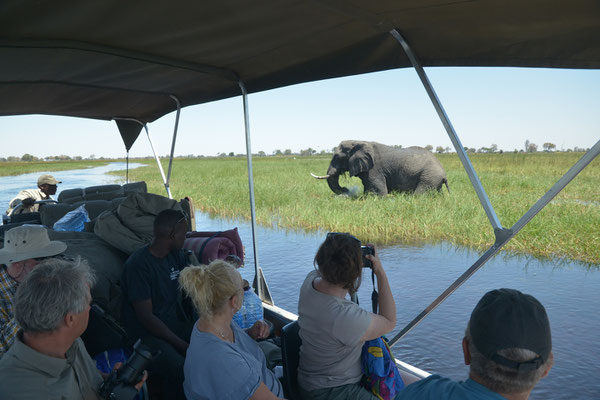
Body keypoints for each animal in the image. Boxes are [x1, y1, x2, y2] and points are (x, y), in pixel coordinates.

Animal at [312, 141, 448, 196]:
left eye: (337, 157)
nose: (345, 189)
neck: (358, 142)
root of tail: (444, 174)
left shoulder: (375, 169)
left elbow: (378, 189)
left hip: (429, 176)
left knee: (419, 194)